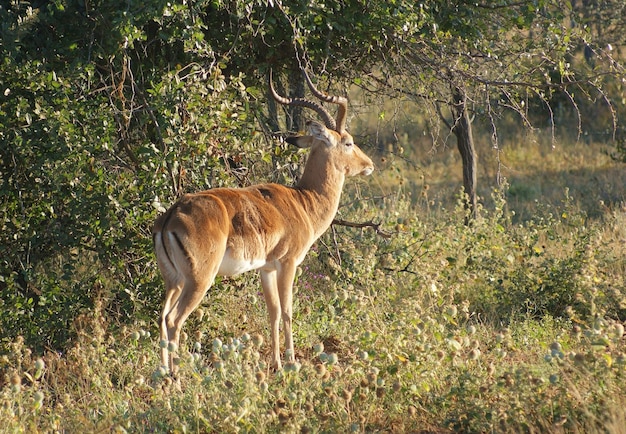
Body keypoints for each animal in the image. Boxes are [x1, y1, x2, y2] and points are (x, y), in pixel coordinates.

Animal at [153, 68, 372, 372]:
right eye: (348, 142)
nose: (369, 165)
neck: (304, 202)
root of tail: (171, 216)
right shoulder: (288, 263)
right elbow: (288, 311)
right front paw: (292, 363)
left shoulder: (266, 269)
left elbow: (274, 312)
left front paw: (277, 364)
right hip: (198, 280)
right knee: (174, 320)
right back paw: (178, 377)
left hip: (173, 280)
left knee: (162, 318)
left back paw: (162, 374)